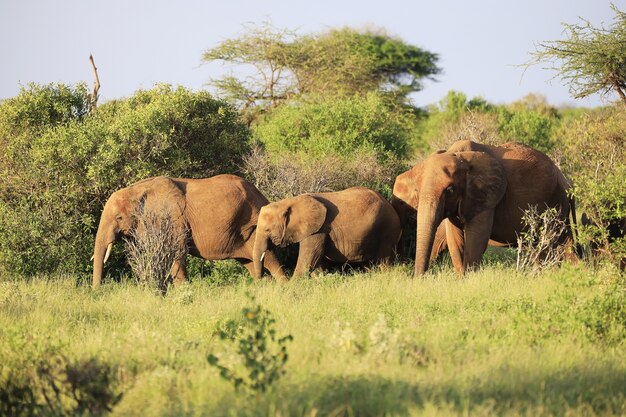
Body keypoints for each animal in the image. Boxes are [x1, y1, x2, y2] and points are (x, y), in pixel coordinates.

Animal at [91, 174, 286, 288]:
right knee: (253, 263)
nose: (97, 292)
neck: (137, 190)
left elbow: (176, 252)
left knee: (268, 258)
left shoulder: (173, 219)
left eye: (118, 218)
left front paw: (183, 291)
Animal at [252, 187, 400, 278]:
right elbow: (316, 261)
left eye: (267, 230)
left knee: (384, 262)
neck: (288, 202)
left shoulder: (319, 229)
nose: (261, 281)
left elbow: (309, 259)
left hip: (387, 229)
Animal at [392, 140, 572, 276]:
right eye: (417, 191)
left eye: (450, 190)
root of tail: (565, 179)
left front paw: (467, 281)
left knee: (552, 244)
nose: (419, 278)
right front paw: (461, 278)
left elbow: (476, 238)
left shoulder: (485, 197)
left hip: (557, 203)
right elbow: (454, 238)